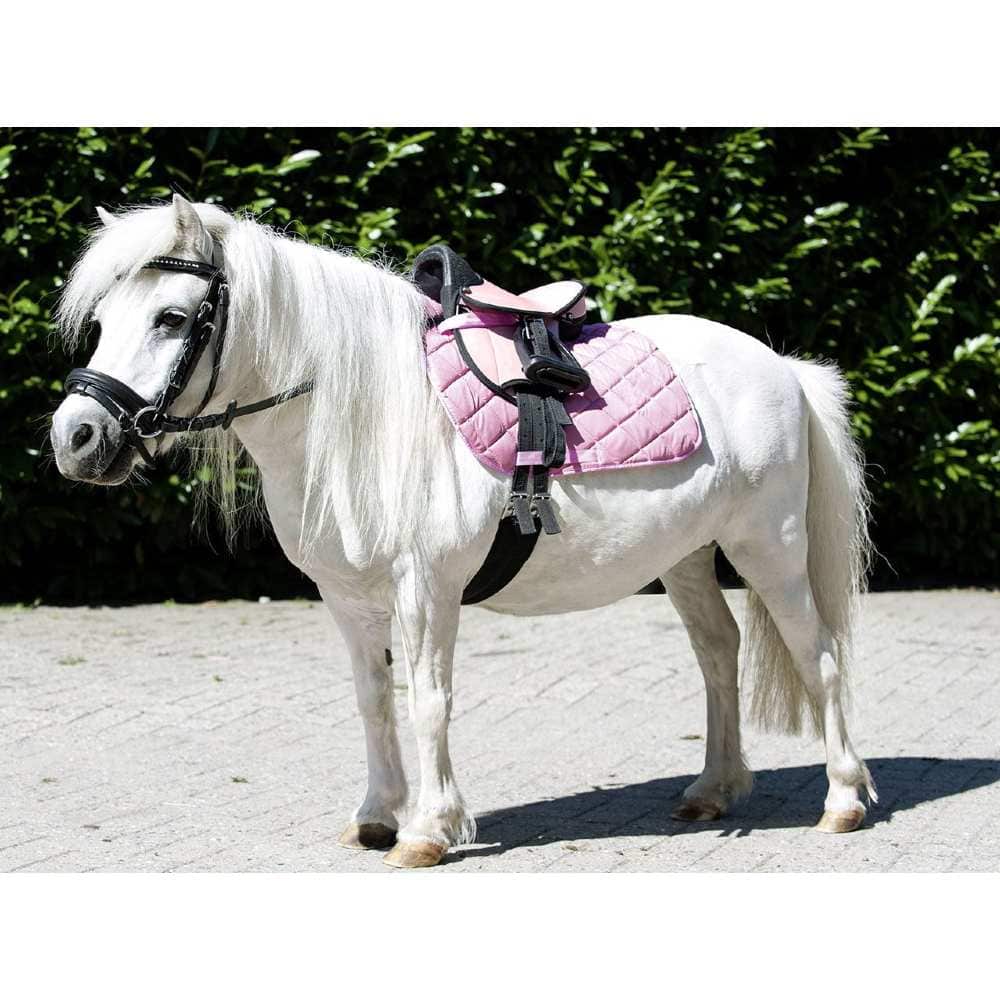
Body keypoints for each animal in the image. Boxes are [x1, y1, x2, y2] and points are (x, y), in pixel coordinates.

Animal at [49, 195, 876, 868]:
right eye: (102, 323)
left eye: (171, 318)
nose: (77, 438)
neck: (369, 412)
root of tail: (782, 367)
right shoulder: (347, 598)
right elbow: (373, 699)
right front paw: (376, 816)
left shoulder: (427, 590)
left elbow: (428, 700)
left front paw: (428, 830)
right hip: (688, 557)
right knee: (717, 652)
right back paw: (713, 788)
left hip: (769, 547)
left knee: (820, 656)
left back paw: (841, 799)